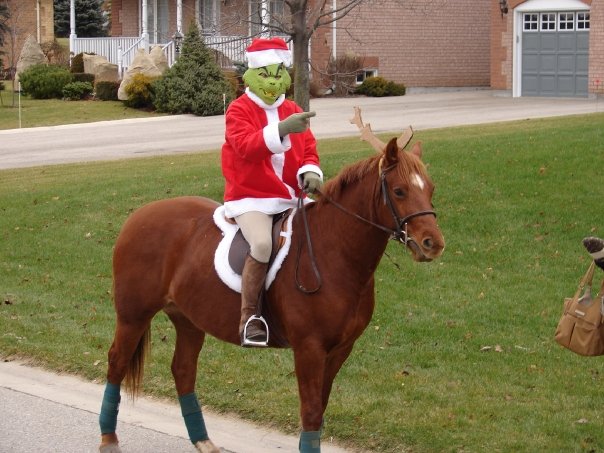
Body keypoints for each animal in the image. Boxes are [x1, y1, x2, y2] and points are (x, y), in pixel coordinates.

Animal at [99, 138, 446, 452]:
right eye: (399, 191)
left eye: (429, 188)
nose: (433, 244)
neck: (333, 251)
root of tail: (138, 215)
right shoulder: (308, 349)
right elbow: (310, 413)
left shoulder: (340, 350)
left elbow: (320, 412)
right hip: (133, 316)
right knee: (117, 362)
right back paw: (109, 439)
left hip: (188, 320)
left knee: (183, 370)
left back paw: (203, 441)